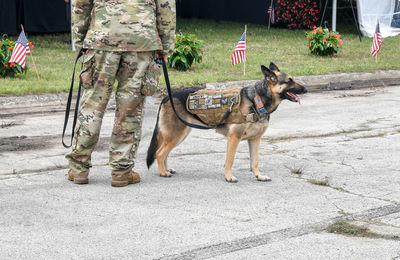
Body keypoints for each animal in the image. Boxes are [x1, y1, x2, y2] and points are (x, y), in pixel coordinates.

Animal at [147, 62, 306, 182]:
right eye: (289, 81)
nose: (305, 89)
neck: (257, 99)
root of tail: (167, 96)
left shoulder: (255, 139)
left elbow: (255, 161)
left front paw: (259, 176)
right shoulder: (234, 137)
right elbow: (230, 160)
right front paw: (229, 177)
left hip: (180, 134)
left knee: (164, 152)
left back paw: (166, 169)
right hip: (176, 134)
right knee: (160, 153)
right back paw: (163, 172)